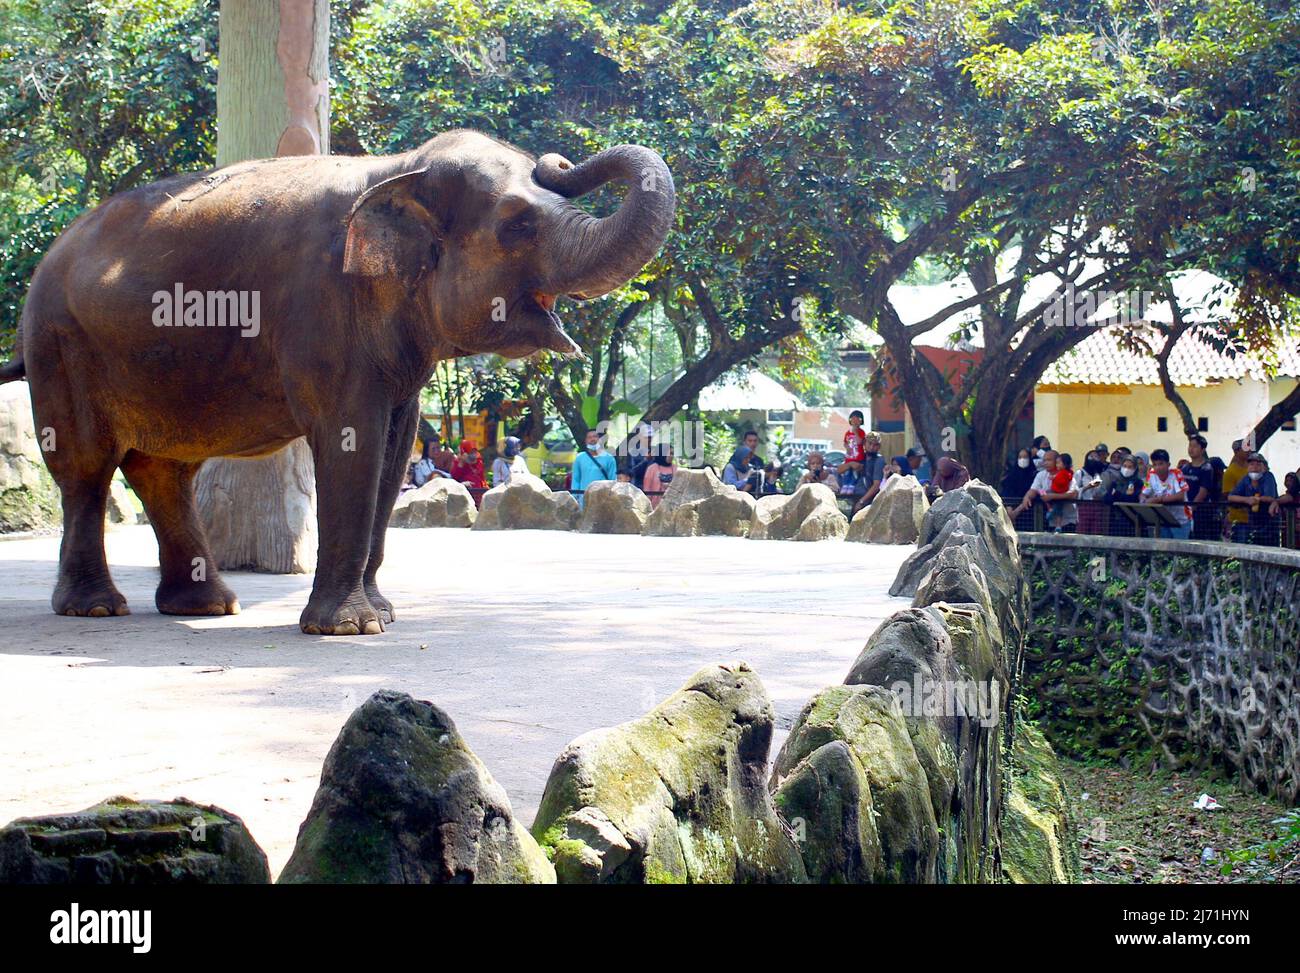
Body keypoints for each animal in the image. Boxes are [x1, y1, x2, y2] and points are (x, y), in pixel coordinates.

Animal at [0, 129, 670, 634]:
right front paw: (348, 627)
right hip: (60, 344)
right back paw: (96, 608)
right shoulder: (323, 311)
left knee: (164, 471)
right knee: (87, 468)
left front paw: (383, 614)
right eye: (517, 223)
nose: (560, 160)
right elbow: (353, 440)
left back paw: (208, 606)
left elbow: (395, 449)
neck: (395, 172)